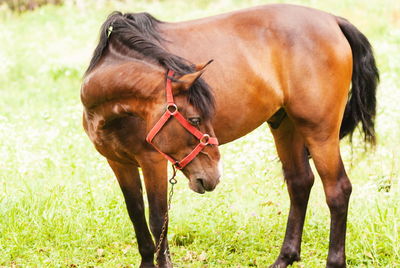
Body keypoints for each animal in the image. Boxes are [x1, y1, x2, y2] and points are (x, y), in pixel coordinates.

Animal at [80, 3, 378, 268]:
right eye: (195, 119)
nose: (213, 176)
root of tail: (333, 21)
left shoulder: (152, 160)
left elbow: (158, 218)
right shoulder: (119, 163)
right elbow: (136, 215)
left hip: (319, 131)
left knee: (337, 190)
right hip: (285, 125)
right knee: (300, 183)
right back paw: (284, 258)